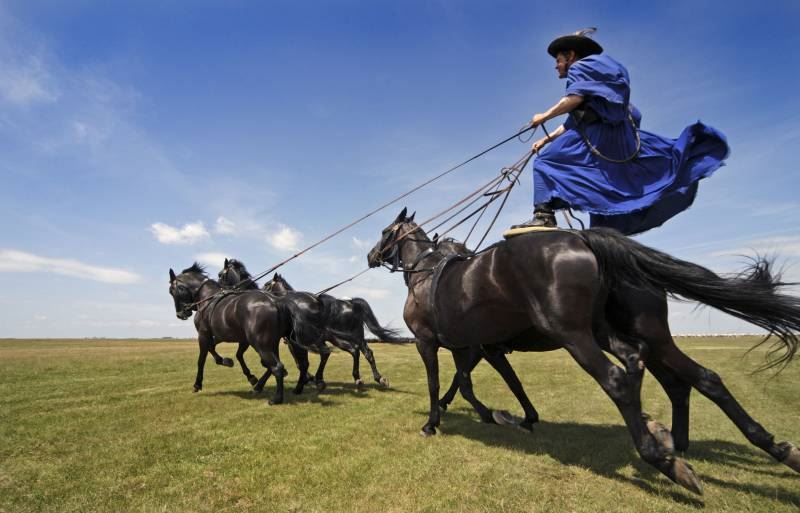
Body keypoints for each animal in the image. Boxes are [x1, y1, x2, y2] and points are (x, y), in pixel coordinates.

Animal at [368, 207, 800, 492]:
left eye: (385, 231)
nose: (371, 255)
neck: (426, 275)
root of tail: (582, 239)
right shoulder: (470, 347)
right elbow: (472, 383)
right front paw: (507, 416)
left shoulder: (438, 343)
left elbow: (443, 383)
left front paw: (438, 421)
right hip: (629, 335)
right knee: (687, 376)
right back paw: (764, 446)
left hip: (575, 333)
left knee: (621, 379)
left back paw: (664, 457)